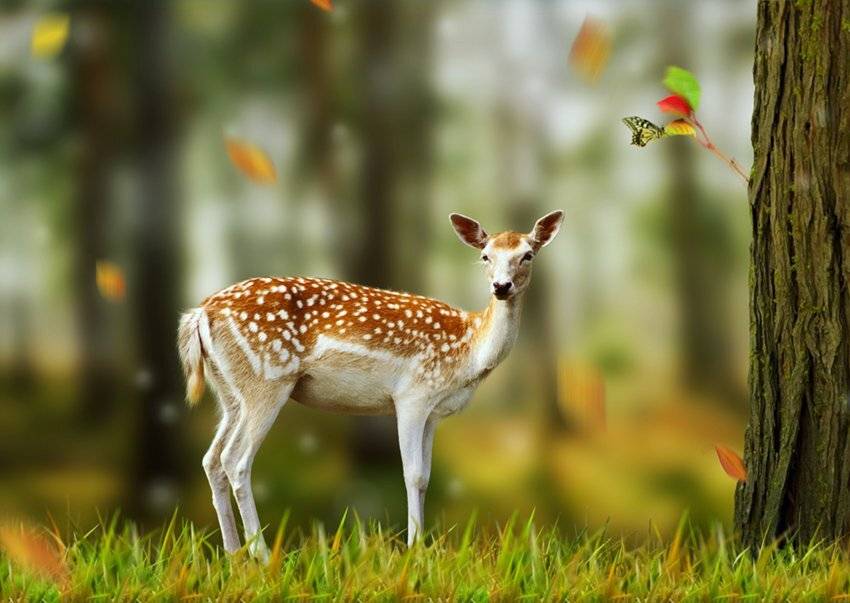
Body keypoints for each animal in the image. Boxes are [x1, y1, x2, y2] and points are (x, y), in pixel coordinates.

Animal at [177, 210, 563, 560]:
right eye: (485, 255)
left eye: (527, 254)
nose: (501, 287)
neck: (469, 352)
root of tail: (200, 313)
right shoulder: (412, 395)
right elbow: (413, 475)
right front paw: (413, 552)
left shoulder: (434, 412)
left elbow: (426, 477)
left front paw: (422, 549)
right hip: (267, 381)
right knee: (235, 460)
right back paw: (261, 555)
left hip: (229, 392)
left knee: (211, 459)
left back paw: (233, 555)